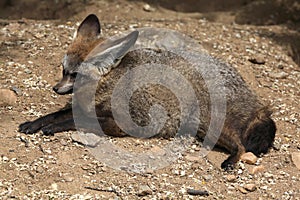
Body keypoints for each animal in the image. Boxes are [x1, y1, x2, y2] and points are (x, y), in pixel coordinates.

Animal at [18, 13, 276, 170]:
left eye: (75, 75)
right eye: (64, 70)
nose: (56, 88)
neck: (106, 86)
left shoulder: (124, 124)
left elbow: (74, 120)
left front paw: (52, 127)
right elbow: (59, 114)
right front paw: (35, 122)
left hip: (211, 126)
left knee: (241, 146)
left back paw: (231, 162)